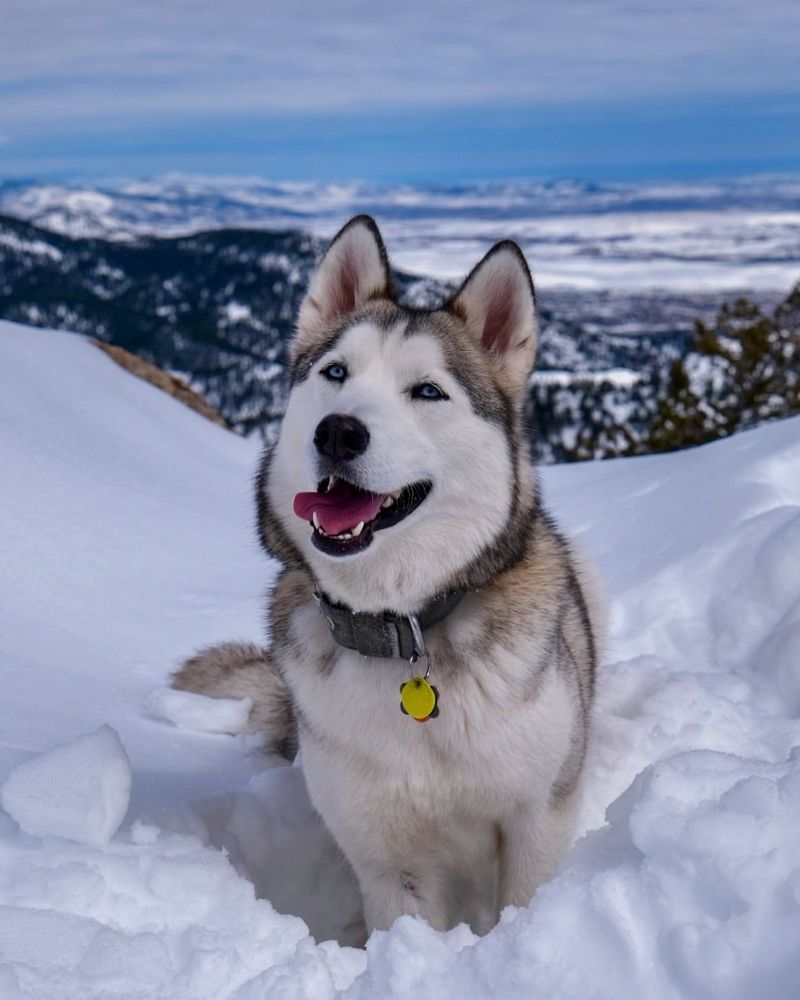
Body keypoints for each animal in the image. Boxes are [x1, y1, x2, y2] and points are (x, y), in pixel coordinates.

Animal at [173, 217, 600, 936]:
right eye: (335, 373)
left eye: (427, 391)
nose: (337, 432)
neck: (407, 629)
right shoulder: (389, 861)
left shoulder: (538, 818)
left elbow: (523, 901)